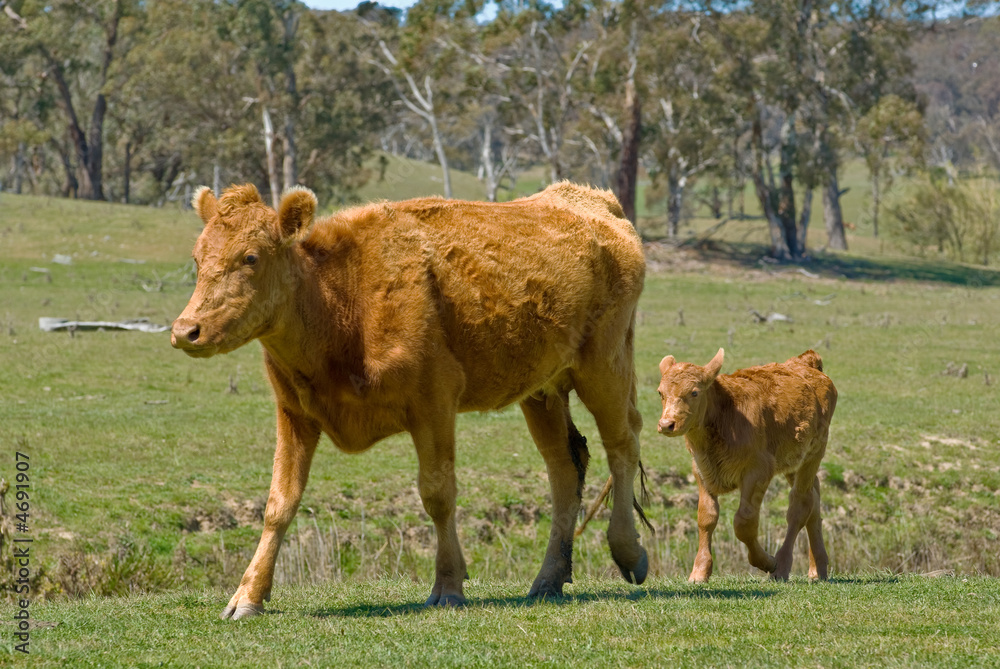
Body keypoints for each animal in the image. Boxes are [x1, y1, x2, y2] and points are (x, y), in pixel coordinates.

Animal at [171, 182, 649, 619]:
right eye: (197, 258)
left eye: (250, 257)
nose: (185, 330)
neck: (341, 300)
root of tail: (590, 201)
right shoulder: (294, 414)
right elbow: (279, 503)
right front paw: (247, 596)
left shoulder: (433, 404)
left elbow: (438, 494)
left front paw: (449, 586)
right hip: (542, 391)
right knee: (565, 466)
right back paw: (548, 579)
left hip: (604, 366)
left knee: (622, 443)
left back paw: (628, 552)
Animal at [656, 349, 837, 582]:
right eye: (660, 393)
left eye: (694, 392)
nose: (666, 424)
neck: (726, 414)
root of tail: (805, 363)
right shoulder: (701, 470)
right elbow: (706, 517)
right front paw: (700, 572)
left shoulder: (759, 470)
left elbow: (744, 522)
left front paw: (766, 562)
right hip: (793, 463)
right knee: (813, 500)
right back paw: (818, 569)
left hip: (814, 453)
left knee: (800, 505)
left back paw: (781, 567)